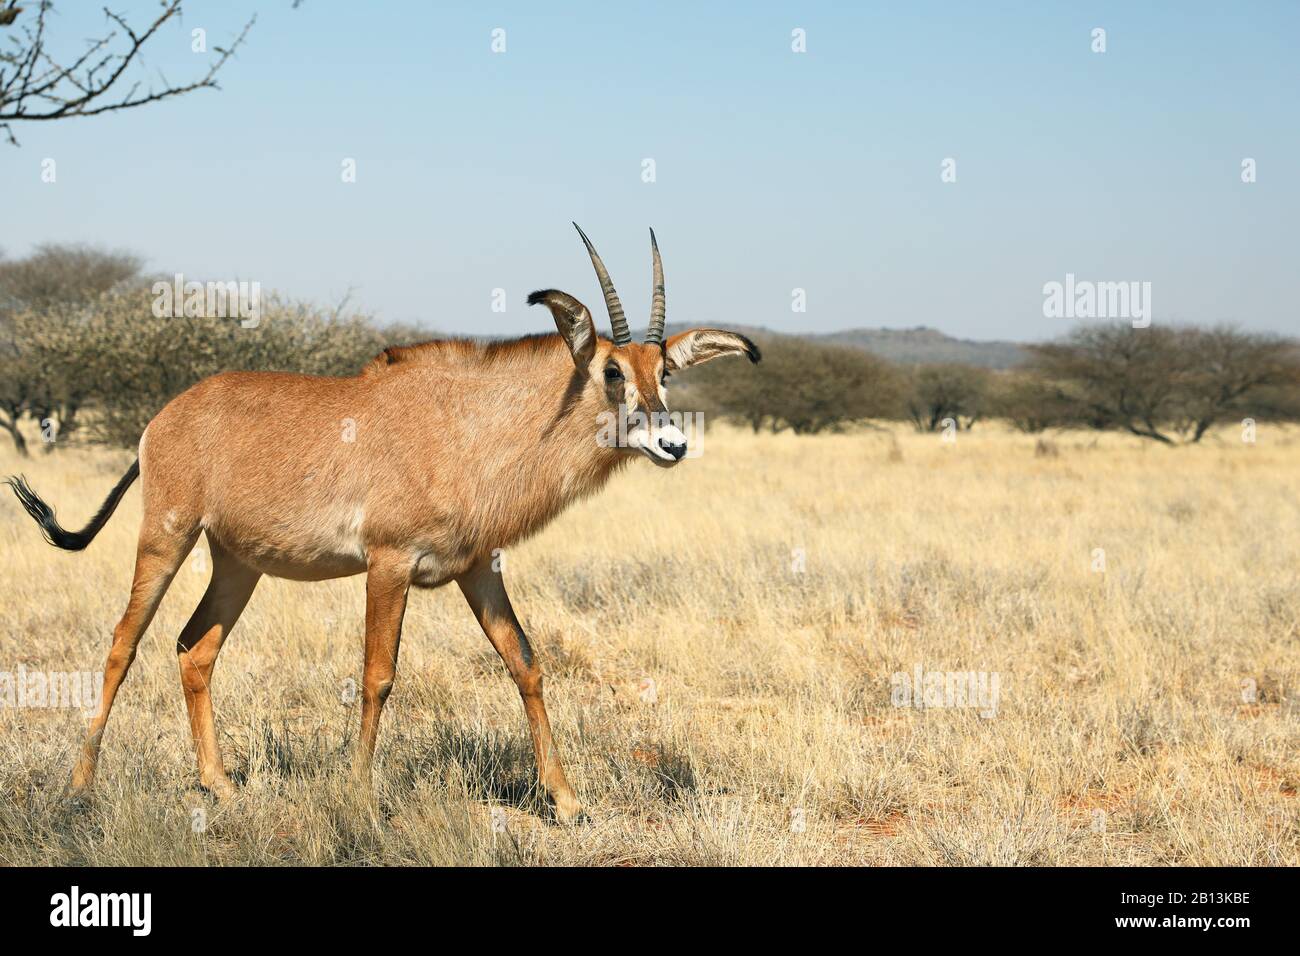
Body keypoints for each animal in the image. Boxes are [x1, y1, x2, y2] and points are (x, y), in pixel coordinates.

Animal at [5, 223, 759, 822]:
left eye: (664, 372)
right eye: (610, 370)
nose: (671, 443)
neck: (466, 429)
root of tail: (162, 417)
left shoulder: (478, 570)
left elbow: (525, 662)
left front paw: (568, 800)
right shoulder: (389, 564)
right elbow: (378, 675)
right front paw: (362, 796)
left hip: (237, 563)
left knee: (195, 649)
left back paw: (220, 785)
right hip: (165, 537)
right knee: (121, 644)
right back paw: (79, 789)